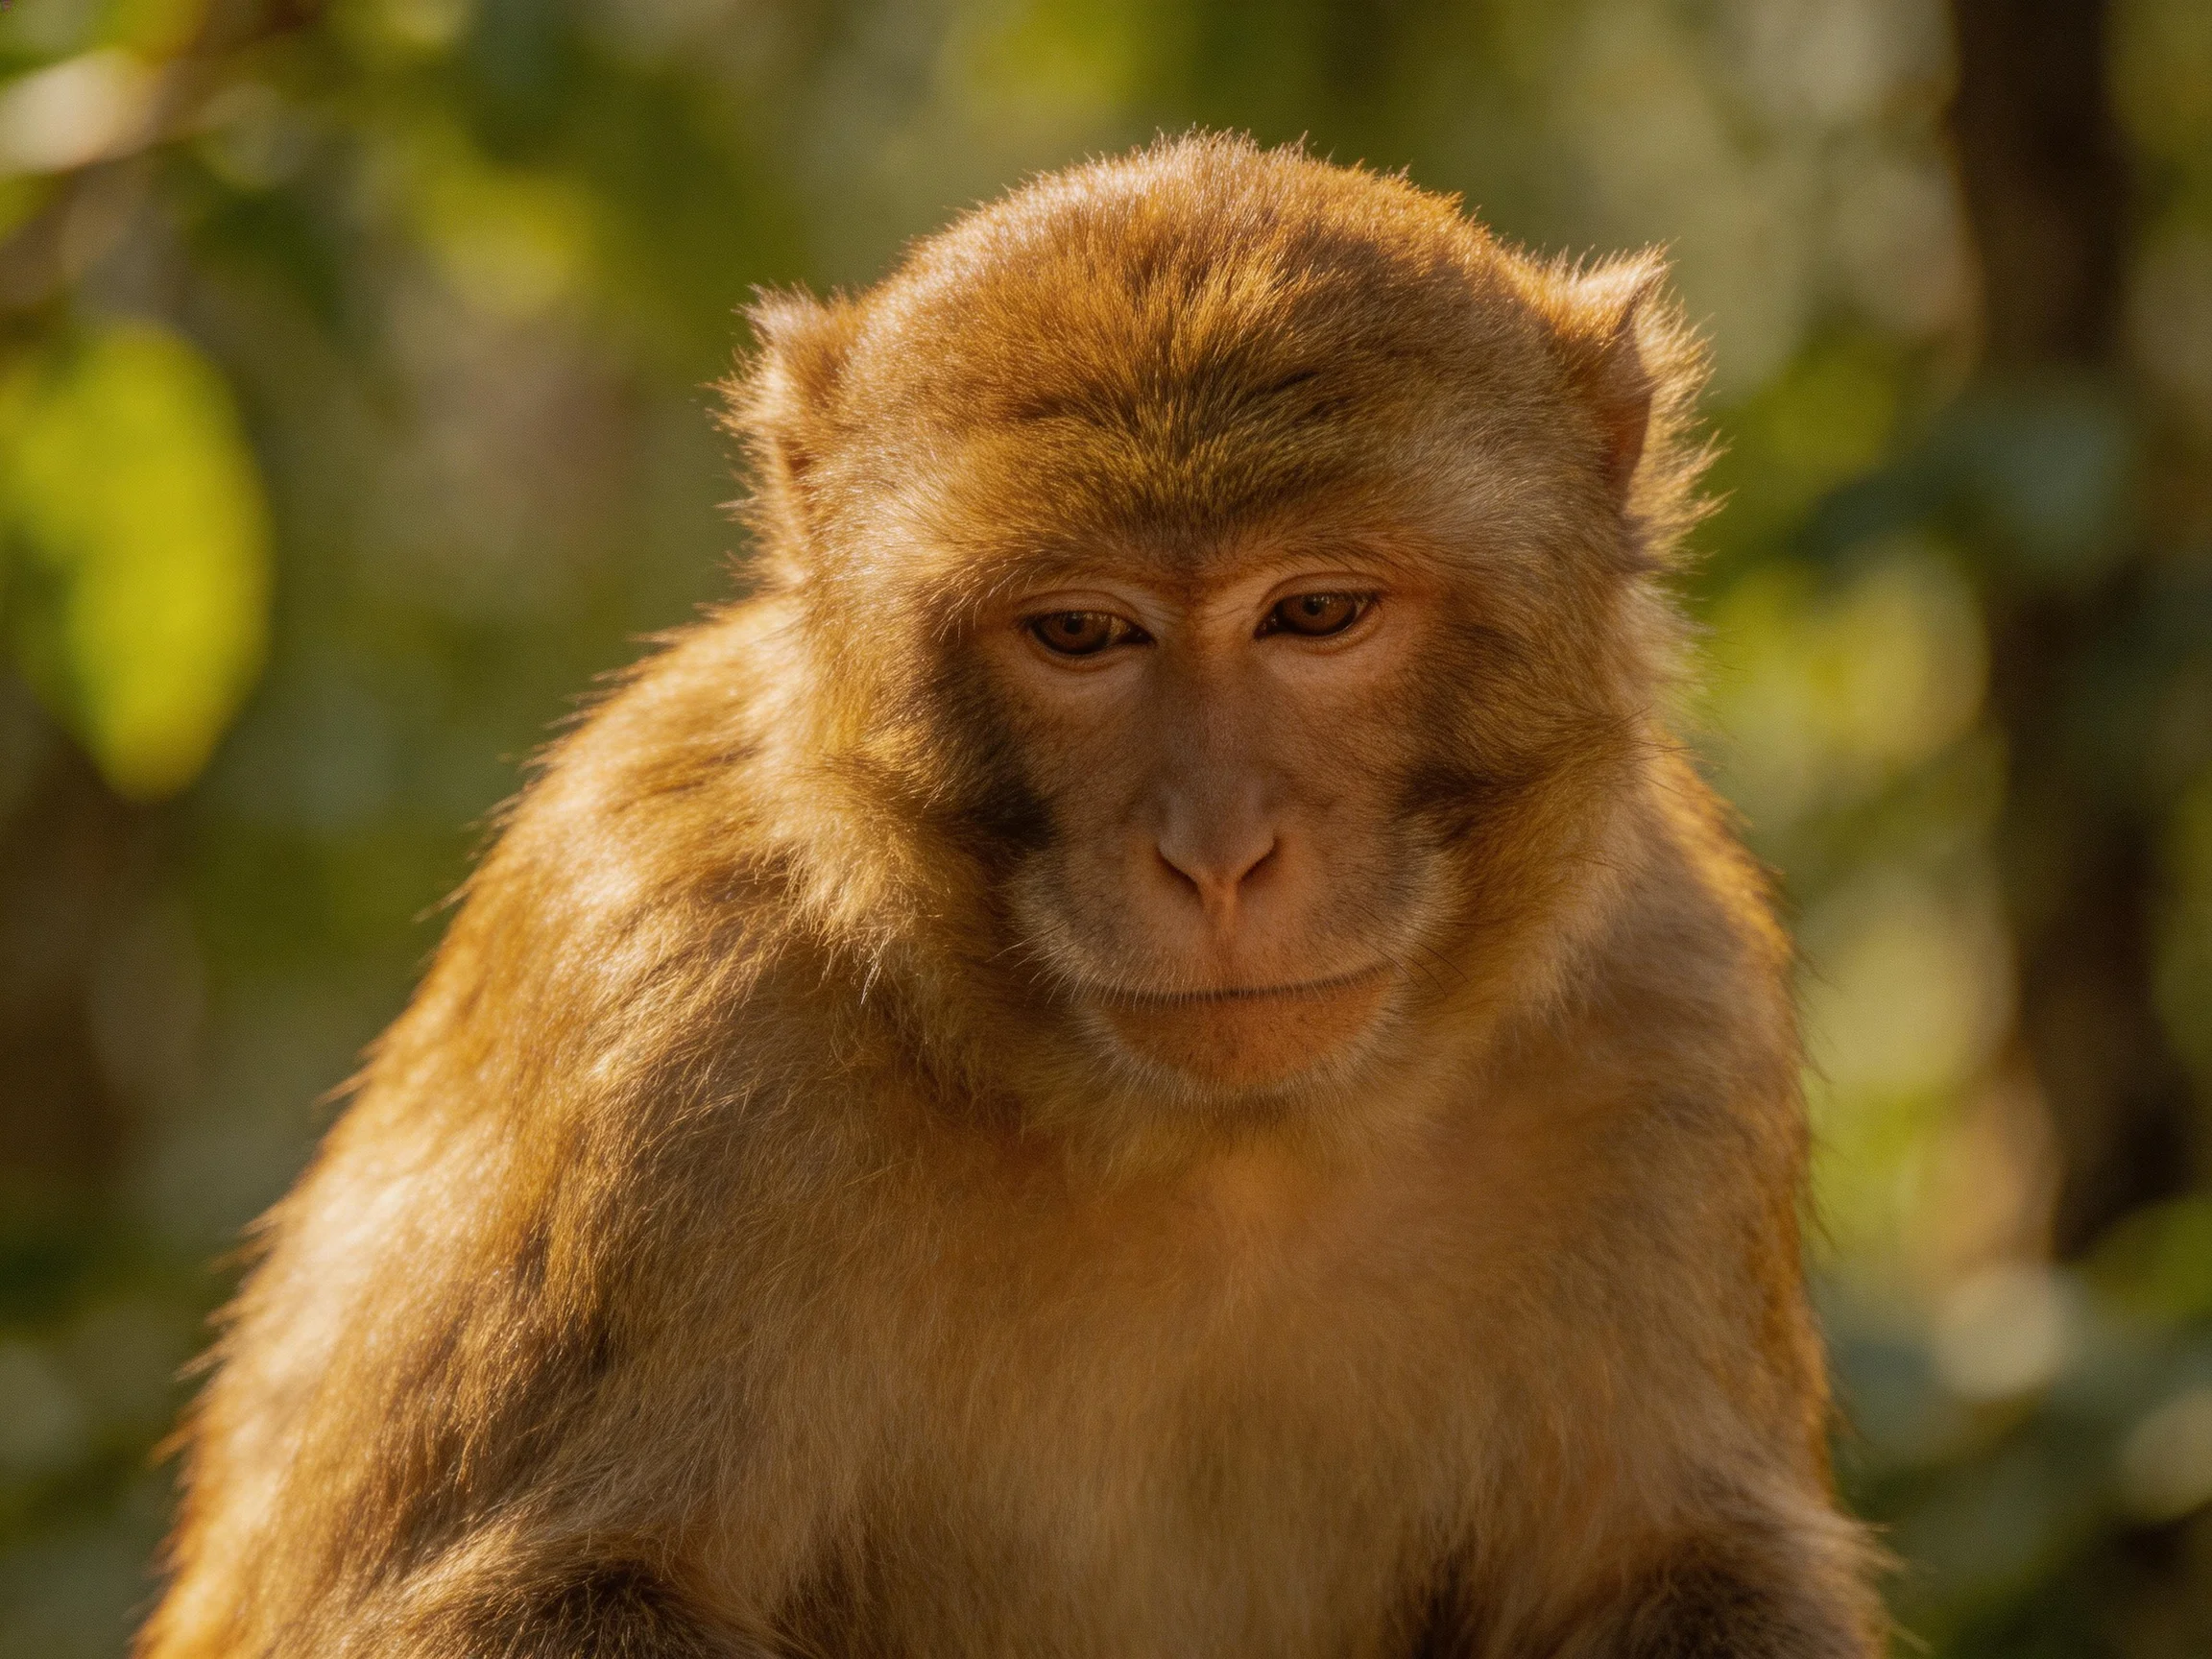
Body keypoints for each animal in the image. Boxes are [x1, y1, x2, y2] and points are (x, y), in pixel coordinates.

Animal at [139, 134, 1887, 1659]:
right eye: (1080, 633)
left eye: (1314, 612)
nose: (1215, 850)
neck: (1213, 1151)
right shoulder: (659, 998)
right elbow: (505, 1602)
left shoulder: (1670, 1019)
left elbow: (1689, 1574)